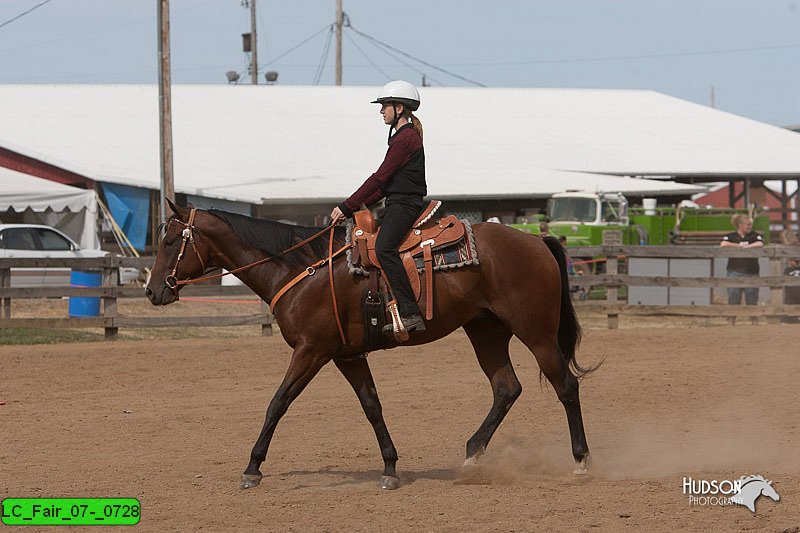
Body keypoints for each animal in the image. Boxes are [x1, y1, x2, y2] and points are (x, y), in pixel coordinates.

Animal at [145, 201, 592, 490]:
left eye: (170, 241)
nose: (152, 291)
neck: (300, 269)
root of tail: (537, 242)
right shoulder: (347, 355)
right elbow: (372, 405)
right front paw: (390, 467)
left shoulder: (311, 350)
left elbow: (278, 402)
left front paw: (253, 468)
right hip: (485, 330)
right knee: (506, 388)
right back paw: (471, 455)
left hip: (535, 332)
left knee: (566, 386)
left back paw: (581, 462)